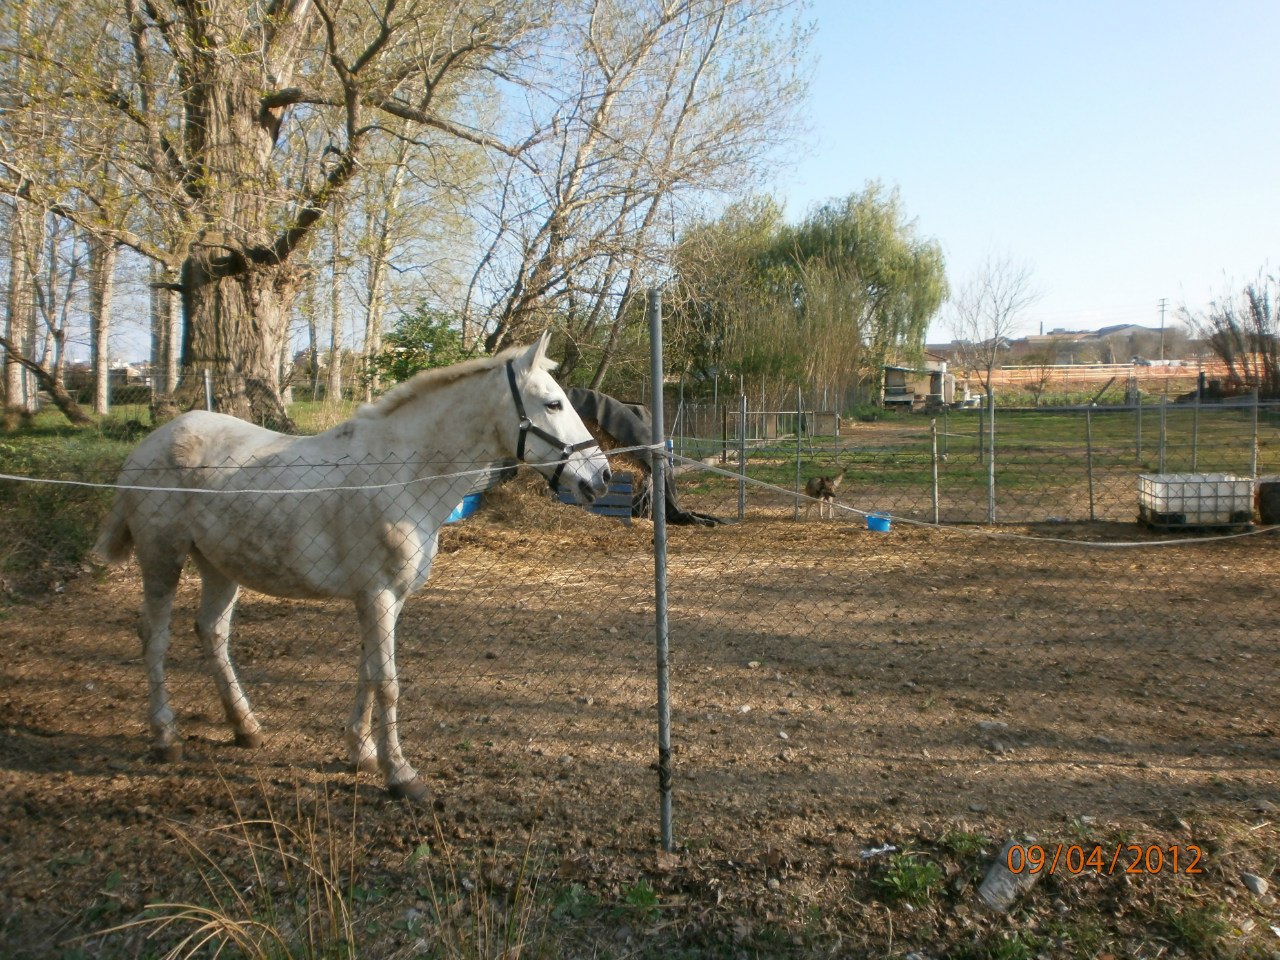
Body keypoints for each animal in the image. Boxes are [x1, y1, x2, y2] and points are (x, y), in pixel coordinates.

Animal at [93, 333, 611, 802]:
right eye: (553, 404)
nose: (601, 477)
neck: (402, 475)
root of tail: (151, 443)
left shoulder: (387, 599)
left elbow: (368, 672)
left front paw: (361, 753)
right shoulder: (377, 595)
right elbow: (387, 682)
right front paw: (401, 775)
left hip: (221, 566)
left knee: (212, 633)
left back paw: (247, 728)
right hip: (162, 558)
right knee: (155, 637)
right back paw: (166, 738)